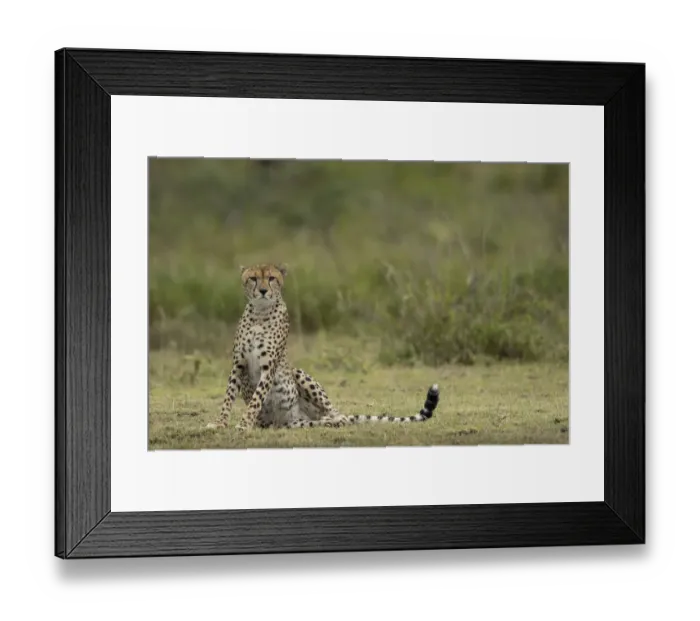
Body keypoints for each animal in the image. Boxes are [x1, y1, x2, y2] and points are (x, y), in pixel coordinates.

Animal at [206, 263, 440, 431]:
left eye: (271, 278)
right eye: (253, 278)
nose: (263, 290)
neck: (260, 314)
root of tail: (289, 419)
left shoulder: (268, 367)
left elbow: (255, 400)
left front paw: (244, 424)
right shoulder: (238, 364)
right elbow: (228, 397)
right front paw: (220, 423)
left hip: (298, 373)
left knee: (339, 413)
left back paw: (337, 420)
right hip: (297, 422)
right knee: (320, 420)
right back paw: (327, 422)